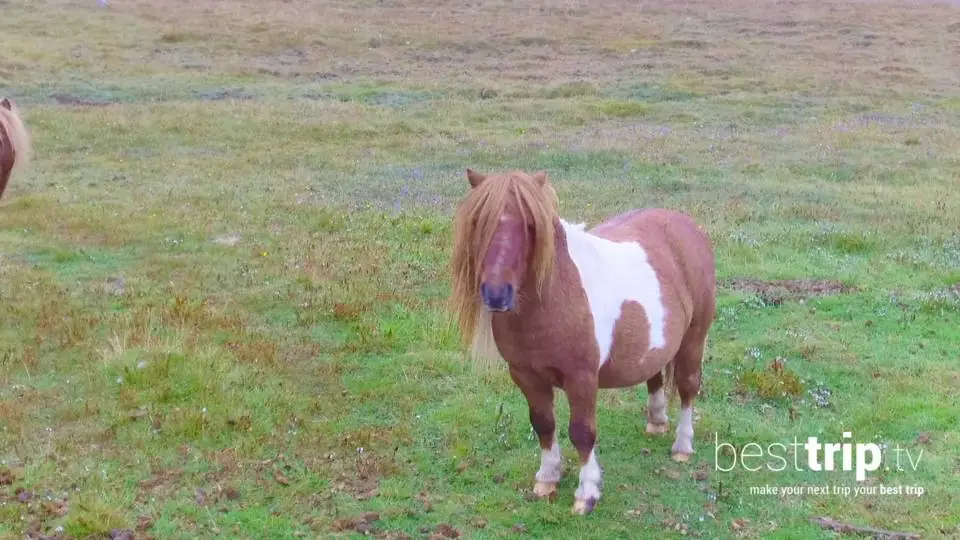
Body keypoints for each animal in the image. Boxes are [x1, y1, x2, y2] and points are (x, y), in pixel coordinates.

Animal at [450, 168, 716, 515]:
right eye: (478, 221)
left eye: (531, 225)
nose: (496, 295)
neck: (555, 299)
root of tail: (688, 226)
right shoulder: (525, 376)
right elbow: (543, 424)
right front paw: (547, 478)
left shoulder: (582, 379)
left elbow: (582, 433)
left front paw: (586, 493)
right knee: (655, 375)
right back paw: (657, 421)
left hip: (694, 338)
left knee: (687, 388)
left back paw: (682, 445)